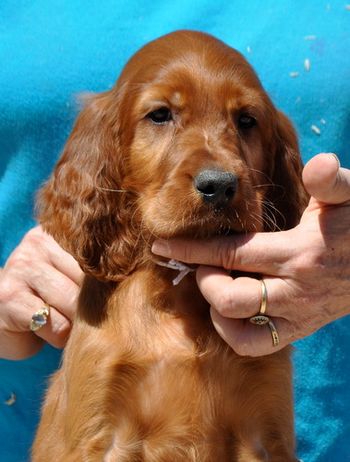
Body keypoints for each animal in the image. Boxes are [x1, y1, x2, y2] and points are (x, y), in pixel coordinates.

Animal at [32, 30, 306, 460]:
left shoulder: (267, 430)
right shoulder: (98, 430)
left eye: (246, 120)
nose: (219, 185)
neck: (179, 296)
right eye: (160, 115)